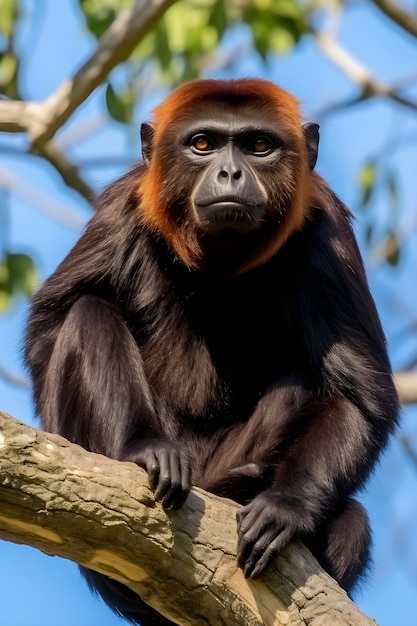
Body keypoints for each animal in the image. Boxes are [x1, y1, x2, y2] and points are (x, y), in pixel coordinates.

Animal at [24, 79, 398, 624]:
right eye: (203, 144)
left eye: (258, 146)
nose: (229, 172)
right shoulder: (124, 205)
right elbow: (49, 327)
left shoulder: (329, 230)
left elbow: (360, 395)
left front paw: (288, 504)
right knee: (88, 315)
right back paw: (145, 450)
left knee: (351, 514)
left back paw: (243, 485)